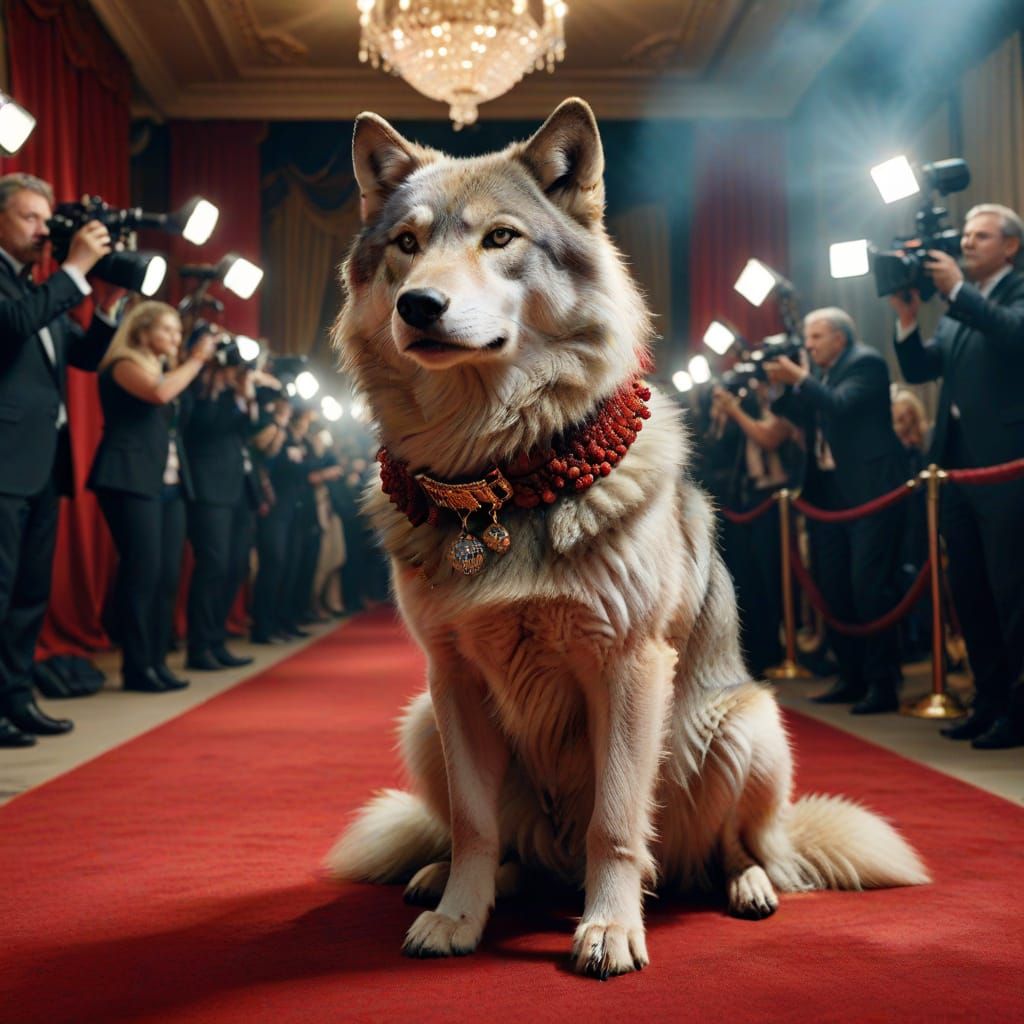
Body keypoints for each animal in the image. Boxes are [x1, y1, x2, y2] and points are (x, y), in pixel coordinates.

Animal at [325, 98, 928, 979]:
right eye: (406, 244)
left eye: (499, 238)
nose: (418, 306)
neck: (500, 479)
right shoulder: (453, 678)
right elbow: (474, 825)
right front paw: (459, 918)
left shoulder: (627, 667)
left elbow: (613, 824)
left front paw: (608, 931)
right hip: (423, 723)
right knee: (513, 850)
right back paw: (449, 878)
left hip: (741, 726)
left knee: (737, 850)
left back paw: (747, 887)